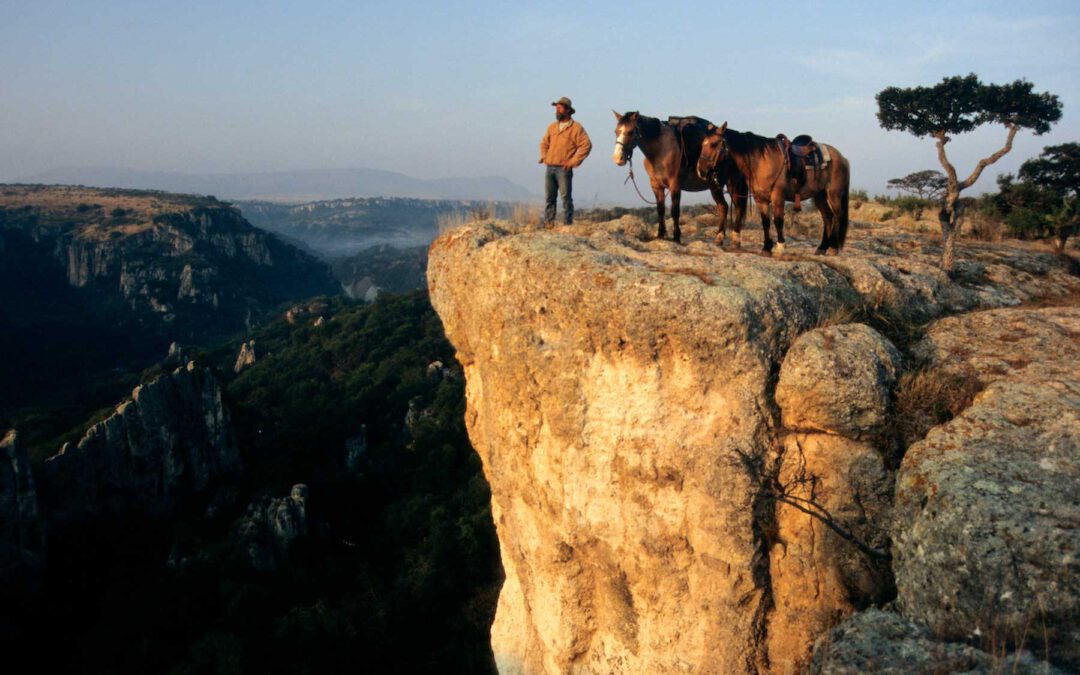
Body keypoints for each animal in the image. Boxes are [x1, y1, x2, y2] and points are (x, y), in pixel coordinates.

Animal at [613, 111, 747, 246]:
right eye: (616, 131)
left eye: (630, 132)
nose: (618, 158)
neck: (661, 150)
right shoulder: (656, 186)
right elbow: (660, 209)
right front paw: (660, 235)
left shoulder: (675, 185)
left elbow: (675, 211)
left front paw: (676, 237)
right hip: (716, 185)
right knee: (723, 207)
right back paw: (719, 238)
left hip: (732, 184)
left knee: (737, 208)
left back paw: (734, 238)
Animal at [691, 122, 851, 253]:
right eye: (703, 144)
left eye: (713, 144)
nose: (700, 170)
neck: (761, 161)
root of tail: (842, 158)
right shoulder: (760, 199)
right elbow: (765, 222)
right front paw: (766, 248)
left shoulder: (777, 197)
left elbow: (778, 221)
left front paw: (780, 247)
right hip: (819, 195)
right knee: (827, 216)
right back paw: (822, 247)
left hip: (833, 194)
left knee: (837, 215)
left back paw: (833, 247)